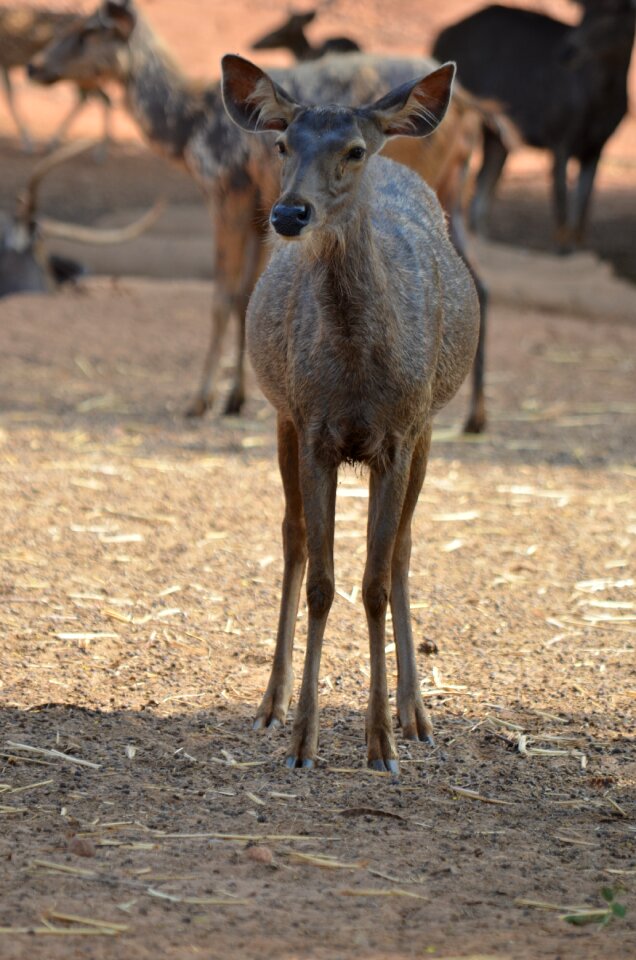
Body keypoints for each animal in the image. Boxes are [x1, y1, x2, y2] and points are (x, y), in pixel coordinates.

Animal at [0, 3, 113, 155]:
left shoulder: (4, 61)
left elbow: (9, 97)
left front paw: (27, 142)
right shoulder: (5, 63)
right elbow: (10, 96)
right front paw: (27, 141)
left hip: (81, 75)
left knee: (102, 99)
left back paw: (99, 151)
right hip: (80, 76)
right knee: (94, 98)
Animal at [28, 0, 506, 432]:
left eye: (88, 31)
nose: (34, 67)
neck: (187, 131)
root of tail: (468, 103)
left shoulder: (228, 188)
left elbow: (223, 295)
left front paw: (200, 400)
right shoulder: (262, 206)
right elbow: (246, 294)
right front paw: (236, 398)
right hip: (455, 187)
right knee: (480, 281)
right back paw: (475, 416)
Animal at [221, 54, 480, 772]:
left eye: (354, 150)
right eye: (284, 143)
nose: (288, 212)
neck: (359, 379)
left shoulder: (401, 432)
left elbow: (374, 582)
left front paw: (383, 742)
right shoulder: (312, 427)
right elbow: (322, 581)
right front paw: (304, 740)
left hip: (428, 431)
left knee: (402, 552)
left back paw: (417, 713)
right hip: (282, 418)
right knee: (292, 540)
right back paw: (272, 703)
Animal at [432, 0, 636, 251]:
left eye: (617, 12)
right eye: (584, 12)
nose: (568, 51)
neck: (598, 103)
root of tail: (440, 36)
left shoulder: (597, 146)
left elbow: (582, 212)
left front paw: (578, 248)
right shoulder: (560, 136)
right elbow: (561, 206)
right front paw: (562, 250)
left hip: (497, 136)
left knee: (481, 194)